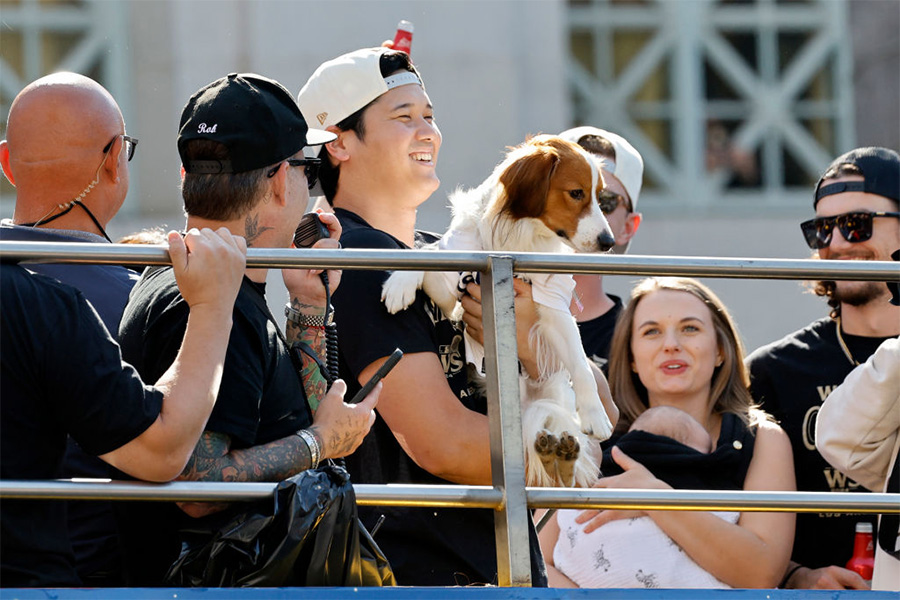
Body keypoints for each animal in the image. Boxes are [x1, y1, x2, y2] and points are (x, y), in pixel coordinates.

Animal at [380, 136, 620, 488]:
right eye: (576, 193)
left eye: (601, 197)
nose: (608, 241)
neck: (515, 236)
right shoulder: (451, 290)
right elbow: (426, 254)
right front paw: (400, 281)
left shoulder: (554, 307)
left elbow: (581, 365)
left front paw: (595, 415)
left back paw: (561, 456)